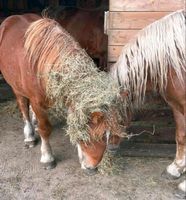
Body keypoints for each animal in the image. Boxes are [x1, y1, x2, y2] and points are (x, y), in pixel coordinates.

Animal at [0, 13, 122, 173]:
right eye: (97, 135)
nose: (92, 167)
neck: (43, 65)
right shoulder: (37, 101)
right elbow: (45, 129)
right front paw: (47, 158)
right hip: (16, 87)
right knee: (23, 107)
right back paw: (30, 136)